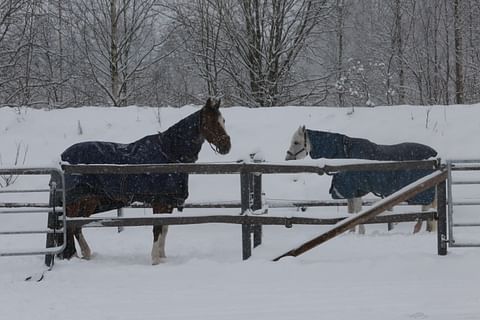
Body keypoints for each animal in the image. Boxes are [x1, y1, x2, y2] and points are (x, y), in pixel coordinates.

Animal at [55, 99, 232, 264]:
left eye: (223, 120)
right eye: (211, 121)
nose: (227, 146)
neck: (169, 152)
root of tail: (63, 157)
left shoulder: (168, 202)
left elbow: (165, 229)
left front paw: (162, 257)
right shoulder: (160, 202)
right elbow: (157, 228)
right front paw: (155, 259)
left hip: (88, 201)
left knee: (77, 226)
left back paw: (85, 255)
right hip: (75, 202)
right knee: (70, 225)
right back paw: (74, 256)